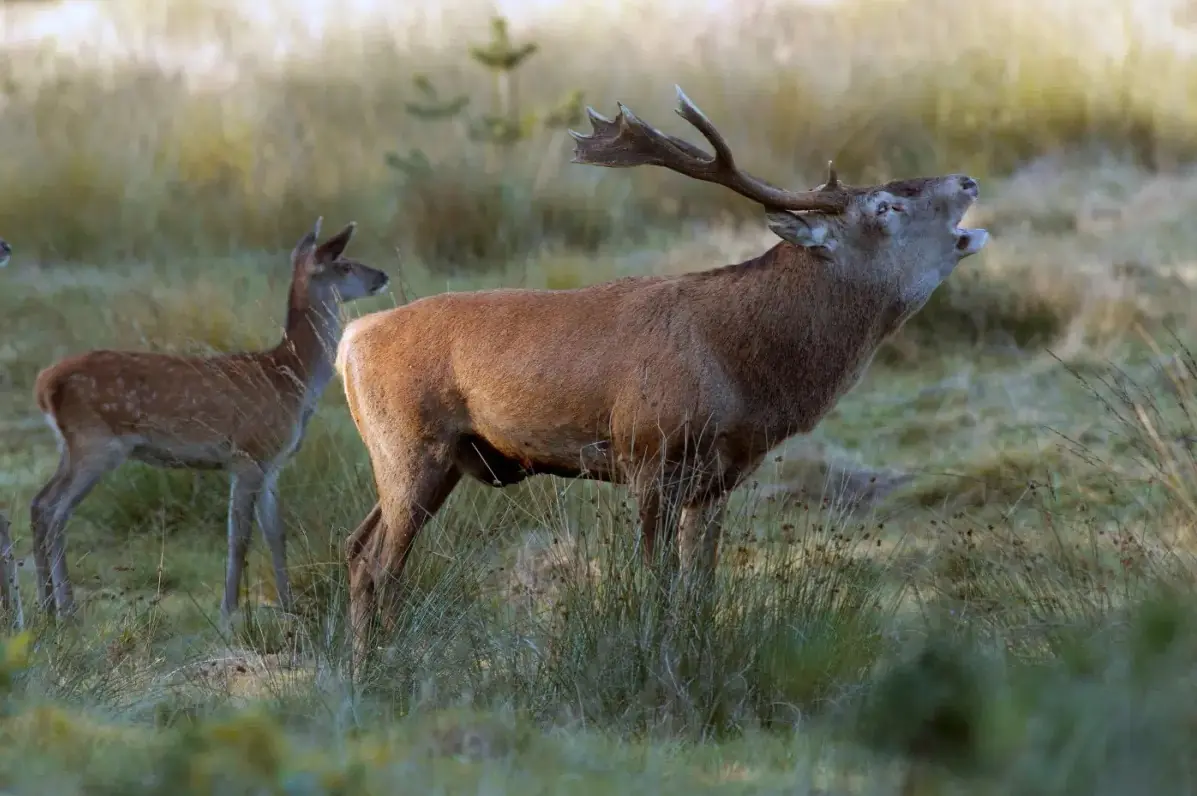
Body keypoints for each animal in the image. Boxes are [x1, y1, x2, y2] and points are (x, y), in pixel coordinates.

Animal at [29, 218, 389, 626]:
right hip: (95, 443)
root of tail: (44, 384)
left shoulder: (271, 464)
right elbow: (239, 536)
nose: (382, 275)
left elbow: (276, 534)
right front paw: (228, 612)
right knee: (55, 510)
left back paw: (49, 607)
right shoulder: (248, 452)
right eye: (344, 264)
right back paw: (65, 608)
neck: (290, 379)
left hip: (71, 445)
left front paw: (289, 607)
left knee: (41, 504)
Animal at [334, 85, 989, 660]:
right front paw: (655, 658)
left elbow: (701, 588)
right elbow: (657, 583)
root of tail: (350, 339)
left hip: (432, 457)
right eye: (887, 207)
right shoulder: (650, 452)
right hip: (409, 444)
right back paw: (386, 667)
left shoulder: (719, 476)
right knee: (382, 564)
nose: (967, 180)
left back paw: (364, 667)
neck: (741, 370)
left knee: (356, 546)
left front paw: (697, 653)